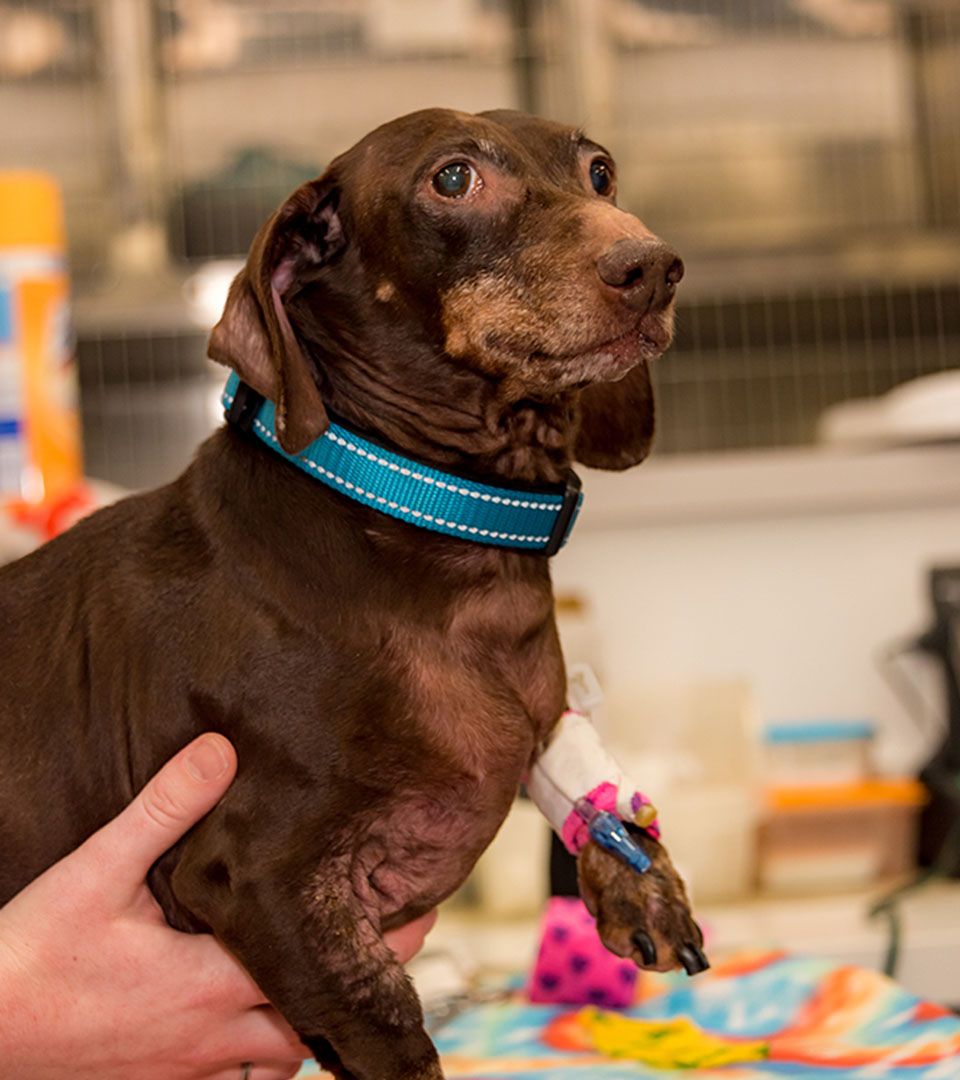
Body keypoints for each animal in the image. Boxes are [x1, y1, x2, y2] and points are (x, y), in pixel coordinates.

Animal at [0, 111, 704, 1080]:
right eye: (454, 178)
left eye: (600, 171)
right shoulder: (252, 874)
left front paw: (641, 879)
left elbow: (575, 763)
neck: (412, 508)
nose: (653, 267)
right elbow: (386, 1020)